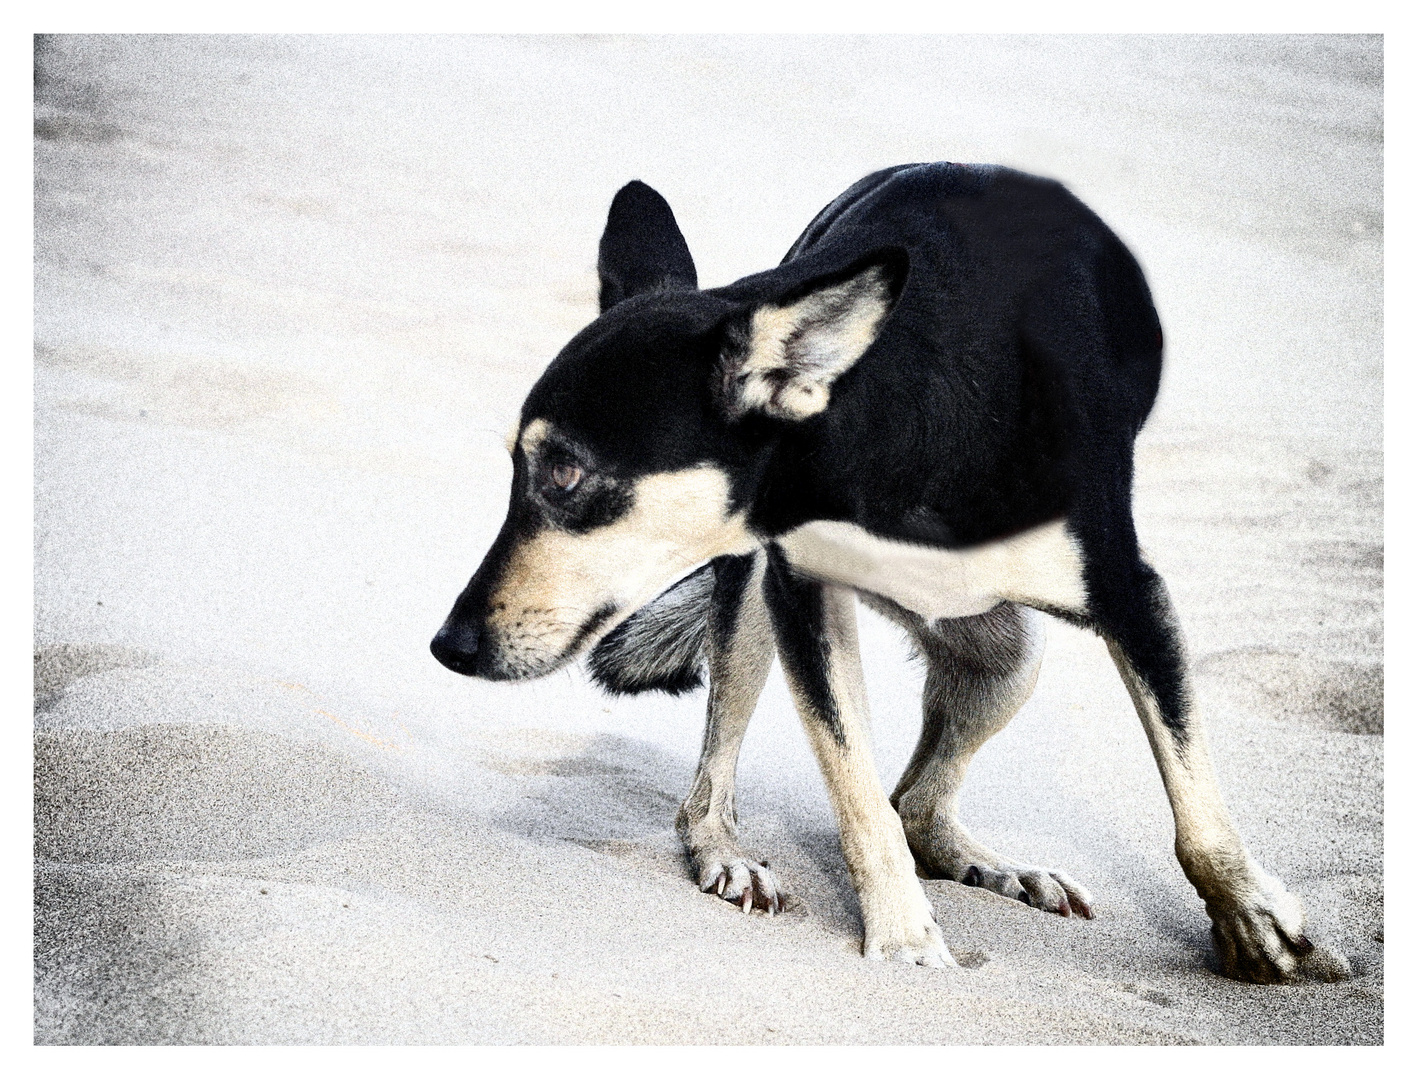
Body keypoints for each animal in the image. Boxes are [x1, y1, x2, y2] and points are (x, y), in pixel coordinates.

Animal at [433, 164, 1349, 980]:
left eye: (565, 474)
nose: (450, 645)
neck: (884, 413)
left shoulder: (1135, 599)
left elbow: (1198, 806)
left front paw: (1250, 918)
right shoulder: (803, 601)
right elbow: (858, 794)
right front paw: (905, 940)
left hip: (1010, 656)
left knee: (921, 803)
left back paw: (999, 868)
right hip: (761, 601)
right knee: (738, 790)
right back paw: (728, 852)